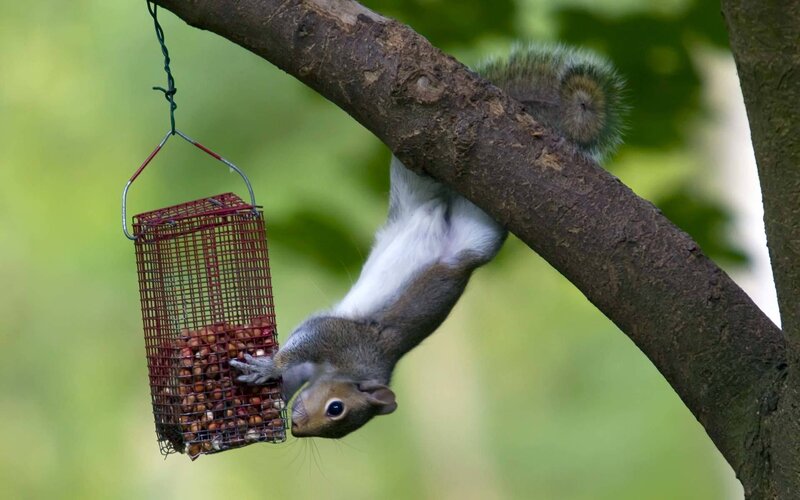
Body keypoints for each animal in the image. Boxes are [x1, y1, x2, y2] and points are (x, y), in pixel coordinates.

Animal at [231, 43, 625, 439]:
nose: (297, 427)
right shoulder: (347, 341)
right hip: (433, 175)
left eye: (337, 416)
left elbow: (298, 359)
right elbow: (311, 337)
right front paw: (268, 368)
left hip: (473, 228)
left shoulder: (340, 351)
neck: (356, 370)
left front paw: (266, 378)